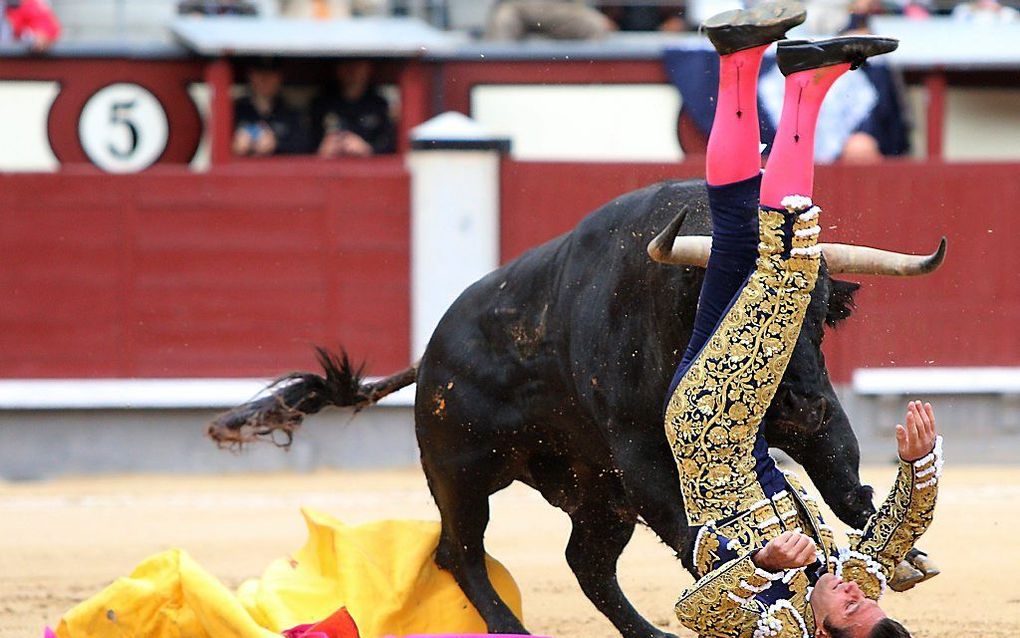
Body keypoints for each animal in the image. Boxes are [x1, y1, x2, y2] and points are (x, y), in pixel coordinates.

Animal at [211, 179, 942, 636]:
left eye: (820, 323)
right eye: (752, 312)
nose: (806, 404)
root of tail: (433, 350)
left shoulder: (810, 422)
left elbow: (844, 476)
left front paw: (901, 555)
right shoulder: (641, 453)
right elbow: (691, 529)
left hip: (597, 495)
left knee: (586, 565)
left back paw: (652, 636)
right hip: (461, 474)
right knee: (460, 552)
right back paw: (511, 628)